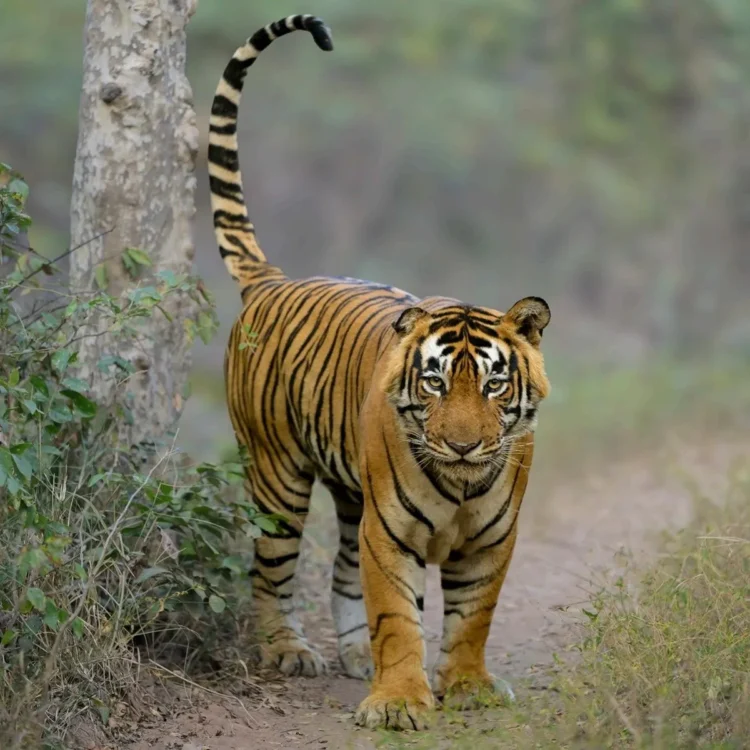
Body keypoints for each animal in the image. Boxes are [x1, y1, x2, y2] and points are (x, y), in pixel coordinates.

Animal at [208, 14, 551, 731]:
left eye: (494, 383)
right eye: (435, 382)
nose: (463, 445)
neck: (461, 485)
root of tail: (273, 281)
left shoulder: (492, 541)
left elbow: (472, 618)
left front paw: (468, 688)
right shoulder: (388, 535)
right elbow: (396, 615)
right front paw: (398, 703)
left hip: (349, 491)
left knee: (339, 569)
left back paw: (350, 653)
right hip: (278, 476)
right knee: (269, 569)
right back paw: (288, 651)